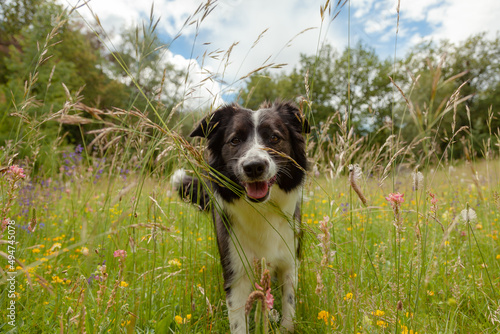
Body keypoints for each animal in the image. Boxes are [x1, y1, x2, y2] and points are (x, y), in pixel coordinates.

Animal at [174, 100, 310, 332]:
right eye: (235, 140)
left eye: (274, 137)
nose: (254, 167)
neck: (262, 210)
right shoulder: (236, 272)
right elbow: (238, 321)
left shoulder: (290, 261)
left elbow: (289, 307)